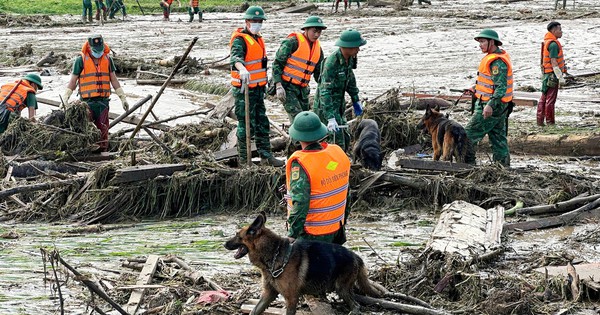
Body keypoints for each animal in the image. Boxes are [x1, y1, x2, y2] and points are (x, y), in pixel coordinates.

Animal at [223, 212, 382, 315]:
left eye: (237, 236)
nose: (224, 244)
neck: (273, 254)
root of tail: (356, 256)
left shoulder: (291, 299)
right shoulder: (268, 294)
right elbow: (254, 310)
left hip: (341, 288)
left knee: (356, 306)